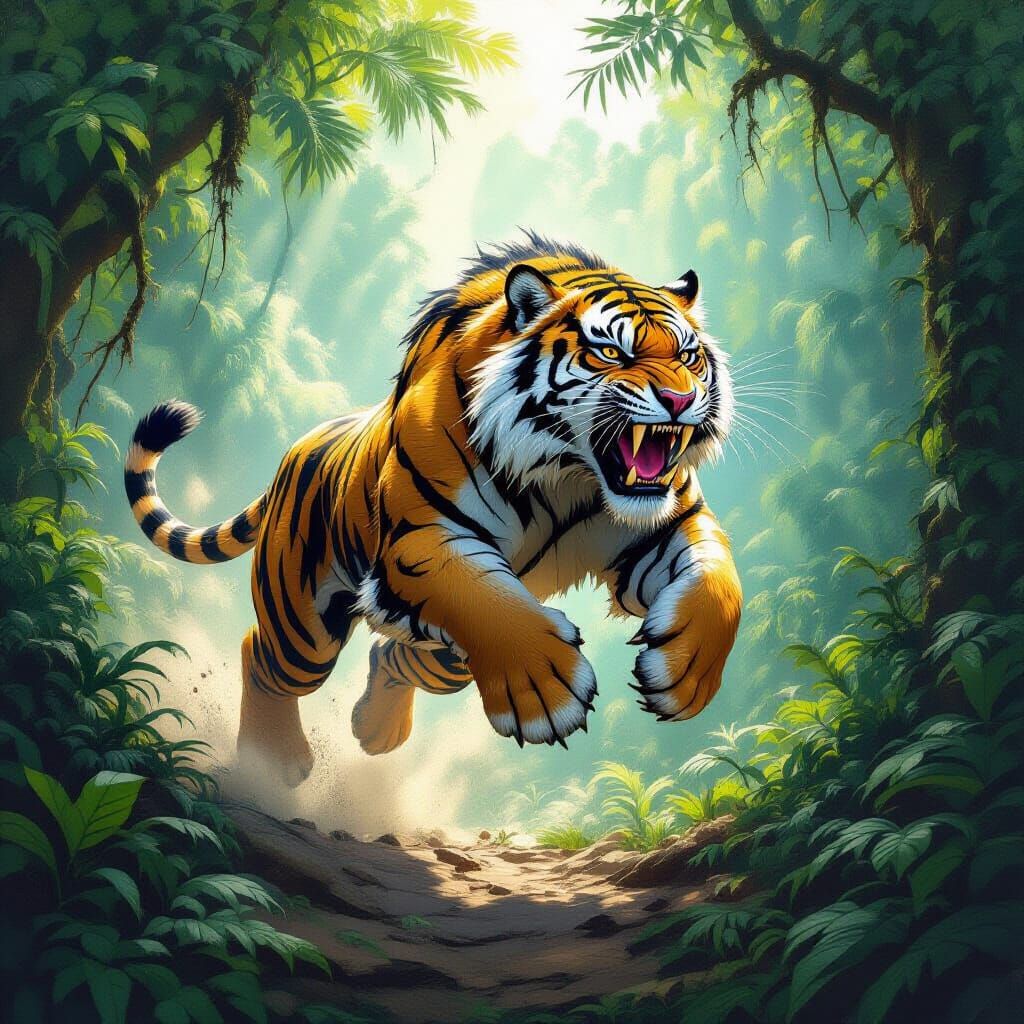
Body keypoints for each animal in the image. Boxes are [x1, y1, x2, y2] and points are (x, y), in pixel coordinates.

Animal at [125, 234, 742, 785]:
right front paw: (545, 690)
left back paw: (375, 730)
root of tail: (294, 451)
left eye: (688, 356)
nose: (682, 401)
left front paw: (686, 674)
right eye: (612, 351)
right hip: (304, 628)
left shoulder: (669, 524)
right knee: (262, 656)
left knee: (391, 655)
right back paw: (273, 762)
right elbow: (489, 603)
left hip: (447, 658)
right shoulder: (425, 540)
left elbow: (720, 583)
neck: (570, 476)